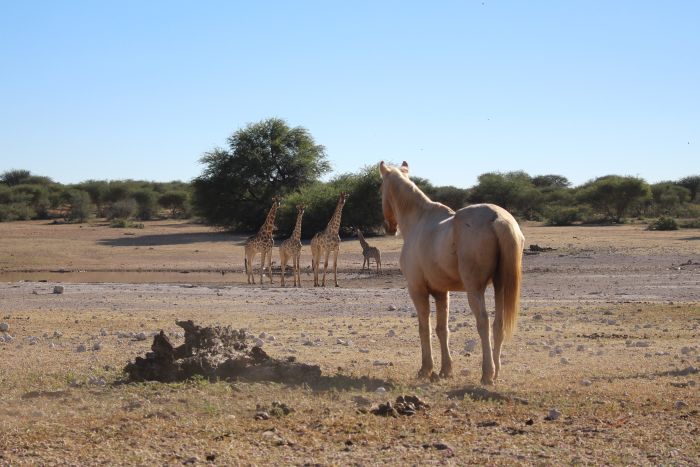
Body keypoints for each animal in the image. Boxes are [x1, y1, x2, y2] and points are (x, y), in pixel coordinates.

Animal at [380, 161, 524, 384]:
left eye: (381, 189)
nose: (389, 228)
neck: (419, 221)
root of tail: (498, 218)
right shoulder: (441, 293)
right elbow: (442, 329)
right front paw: (445, 370)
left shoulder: (417, 290)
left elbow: (424, 328)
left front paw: (426, 369)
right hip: (500, 286)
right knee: (498, 324)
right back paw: (496, 371)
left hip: (475, 290)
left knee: (483, 322)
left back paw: (487, 373)